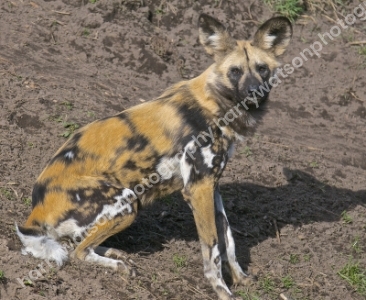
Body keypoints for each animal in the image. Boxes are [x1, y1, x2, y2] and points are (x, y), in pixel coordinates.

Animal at [16, 14, 292, 300]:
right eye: (235, 71)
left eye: (262, 69)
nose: (254, 92)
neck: (219, 107)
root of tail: (35, 211)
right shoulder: (198, 188)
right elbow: (213, 248)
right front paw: (223, 291)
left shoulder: (211, 186)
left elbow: (228, 238)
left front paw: (240, 278)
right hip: (127, 200)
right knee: (78, 252)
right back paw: (115, 263)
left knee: (80, 243)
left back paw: (115, 254)